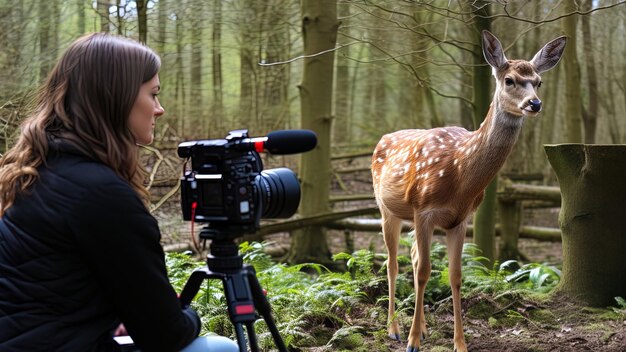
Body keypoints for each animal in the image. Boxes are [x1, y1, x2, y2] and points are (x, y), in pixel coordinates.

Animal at [370, 31, 564, 352]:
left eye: (538, 81)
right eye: (509, 80)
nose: (534, 104)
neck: (460, 174)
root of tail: (382, 138)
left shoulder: (459, 219)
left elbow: (456, 275)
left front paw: (459, 343)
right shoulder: (423, 210)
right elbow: (424, 272)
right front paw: (412, 342)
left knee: (412, 256)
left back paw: (422, 328)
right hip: (387, 209)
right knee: (392, 263)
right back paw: (394, 329)